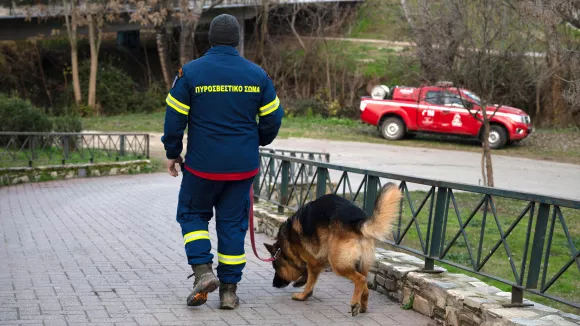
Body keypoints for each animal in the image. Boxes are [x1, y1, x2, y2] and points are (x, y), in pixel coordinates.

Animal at [266, 183, 402, 316]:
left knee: (360, 280)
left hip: (338, 264)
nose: (273, 284)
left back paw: (355, 304)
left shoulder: (313, 262)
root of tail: (357, 222)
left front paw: (303, 295)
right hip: (361, 264)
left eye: (275, 267)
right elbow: (307, 274)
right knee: (365, 285)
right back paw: (362, 305)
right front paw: (301, 283)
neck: (287, 243)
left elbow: (310, 280)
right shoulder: (316, 262)